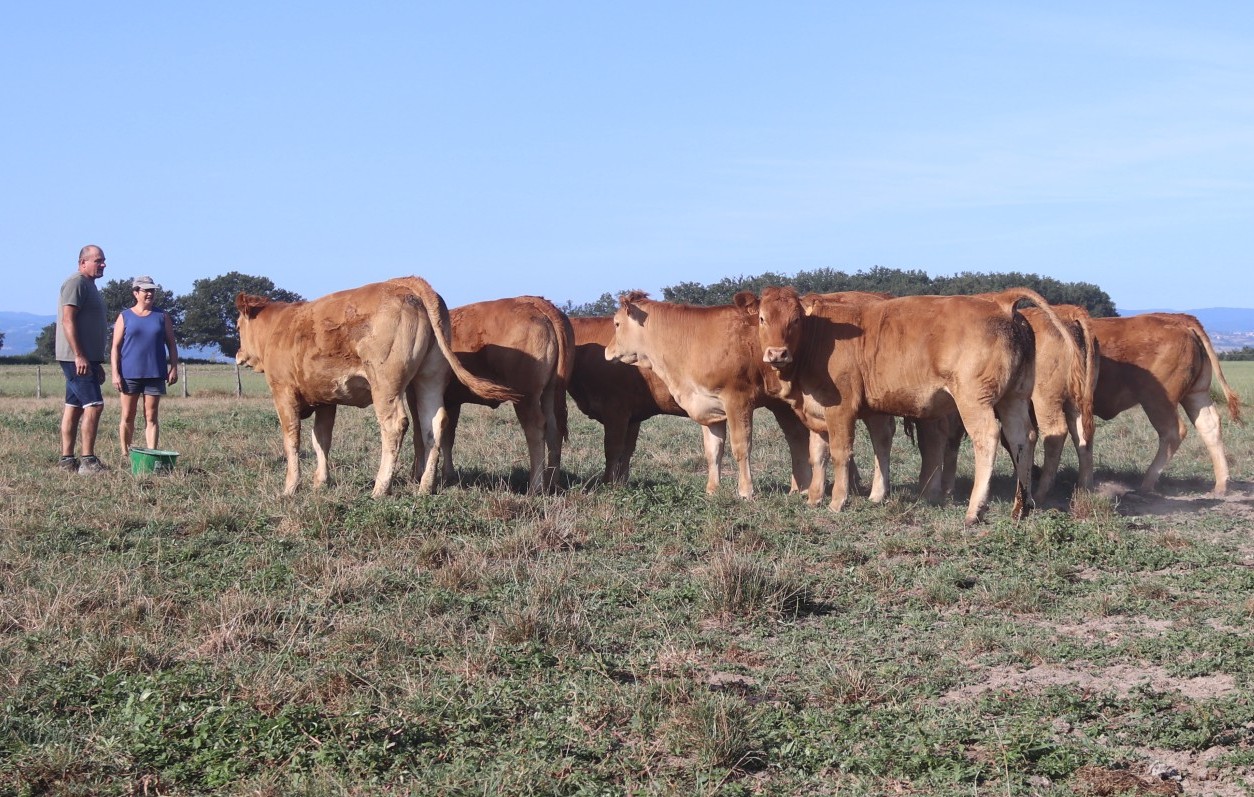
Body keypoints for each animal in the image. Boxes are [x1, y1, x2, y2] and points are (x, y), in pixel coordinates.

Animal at [235, 276, 519, 496]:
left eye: (237, 326)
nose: (237, 355)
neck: (279, 328)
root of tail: (406, 284)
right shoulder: (326, 399)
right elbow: (321, 440)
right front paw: (320, 482)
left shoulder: (283, 393)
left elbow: (292, 440)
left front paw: (291, 487)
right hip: (429, 379)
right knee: (433, 424)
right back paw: (424, 487)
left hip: (385, 386)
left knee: (394, 425)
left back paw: (381, 487)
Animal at [443, 294, 574, 491]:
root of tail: (533, 301)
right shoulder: (452, 401)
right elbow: (447, 437)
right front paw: (449, 476)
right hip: (551, 391)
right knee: (554, 429)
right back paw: (552, 483)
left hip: (526, 395)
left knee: (535, 428)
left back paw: (535, 487)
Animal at [604, 294, 812, 498]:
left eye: (616, 323)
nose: (607, 351)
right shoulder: (708, 405)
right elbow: (713, 450)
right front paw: (712, 490)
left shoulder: (738, 401)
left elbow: (741, 447)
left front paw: (745, 490)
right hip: (782, 405)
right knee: (798, 439)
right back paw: (800, 489)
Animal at [742, 286, 1088, 523]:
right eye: (762, 318)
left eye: (796, 320)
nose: (777, 354)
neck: (822, 338)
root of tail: (1000, 301)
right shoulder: (832, 409)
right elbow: (823, 453)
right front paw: (818, 497)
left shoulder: (840, 408)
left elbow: (841, 453)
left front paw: (837, 501)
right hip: (1014, 398)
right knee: (1022, 439)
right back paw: (1021, 506)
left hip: (975, 400)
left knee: (988, 438)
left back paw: (975, 509)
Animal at [1093, 313, 1238, 496]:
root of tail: (1178, 318)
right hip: (1197, 394)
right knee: (1209, 426)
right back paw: (1221, 485)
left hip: (1157, 400)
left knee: (1173, 432)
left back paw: (1147, 484)